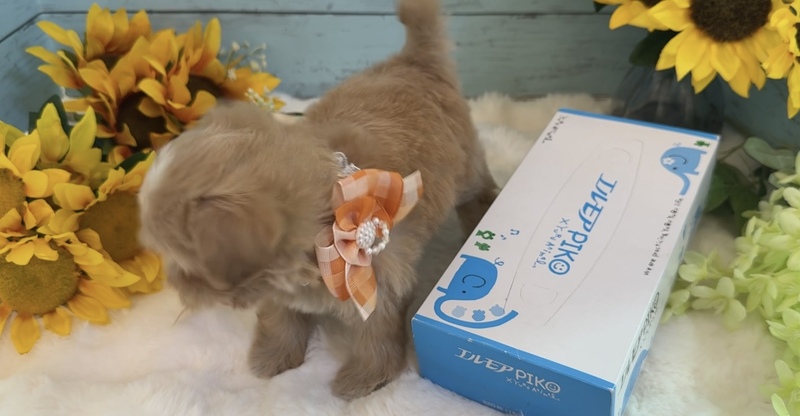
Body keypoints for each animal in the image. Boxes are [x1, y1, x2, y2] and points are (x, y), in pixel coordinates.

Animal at [137, 0, 498, 400]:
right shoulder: (278, 287)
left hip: (464, 164)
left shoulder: (381, 280)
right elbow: (279, 316)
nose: (177, 289)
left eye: (185, 265)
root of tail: (413, 59)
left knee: (476, 189)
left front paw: (365, 378)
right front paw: (273, 355)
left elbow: (376, 331)